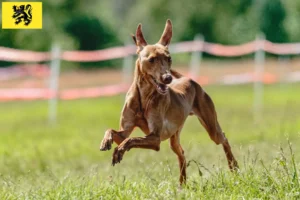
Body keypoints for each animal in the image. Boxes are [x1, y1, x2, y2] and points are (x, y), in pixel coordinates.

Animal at [99, 19, 238, 184]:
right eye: (151, 59)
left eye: (169, 58)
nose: (168, 78)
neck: (144, 98)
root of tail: (187, 78)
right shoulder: (124, 131)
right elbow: (113, 131)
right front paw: (106, 141)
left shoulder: (155, 138)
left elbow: (131, 140)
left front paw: (119, 150)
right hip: (175, 137)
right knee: (182, 154)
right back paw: (182, 184)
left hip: (211, 127)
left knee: (224, 138)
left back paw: (234, 166)